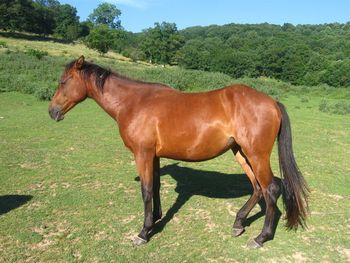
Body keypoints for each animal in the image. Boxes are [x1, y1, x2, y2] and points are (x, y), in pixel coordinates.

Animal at [47, 56, 308, 249]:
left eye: (63, 82)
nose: (52, 111)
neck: (134, 103)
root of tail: (272, 102)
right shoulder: (153, 156)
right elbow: (155, 187)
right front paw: (156, 218)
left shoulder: (142, 154)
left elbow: (146, 191)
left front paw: (143, 232)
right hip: (241, 153)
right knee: (257, 188)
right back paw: (238, 223)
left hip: (256, 154)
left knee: (270, 189)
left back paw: (261, 237)